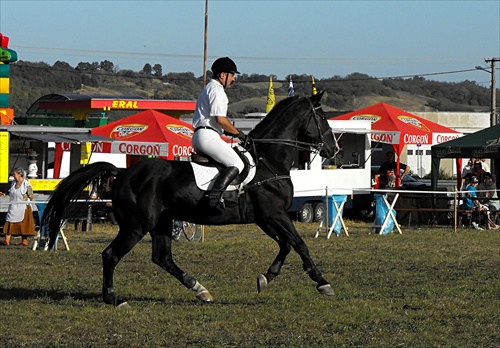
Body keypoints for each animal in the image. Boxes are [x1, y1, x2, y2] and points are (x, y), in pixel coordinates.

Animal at [45, 91, 338, 306]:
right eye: (322, 118)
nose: (334, 149)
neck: (269, 161)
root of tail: (124, 172)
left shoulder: (266, 218)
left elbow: (286, 245)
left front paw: (266, 278)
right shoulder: (274, 214)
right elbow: (300, 244)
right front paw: (322, 282)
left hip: (162, 222)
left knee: (162, 258)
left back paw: (200, 289)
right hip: (136, 225)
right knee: (111, 255)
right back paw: (114, 299)